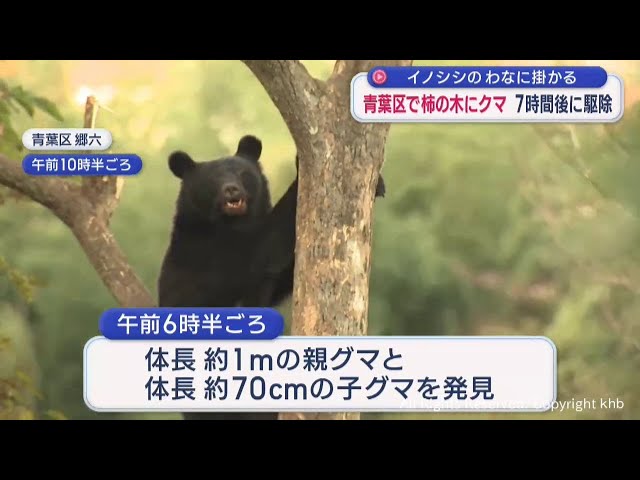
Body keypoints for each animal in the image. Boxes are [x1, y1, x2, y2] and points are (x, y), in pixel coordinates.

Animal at [158, 134, 385, 420]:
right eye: (212, 180)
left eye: (243, 174)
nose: (231, 191)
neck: (228, 223)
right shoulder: (211, 254)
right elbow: (263, 247)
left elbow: (282, 275)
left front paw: (379, 185)